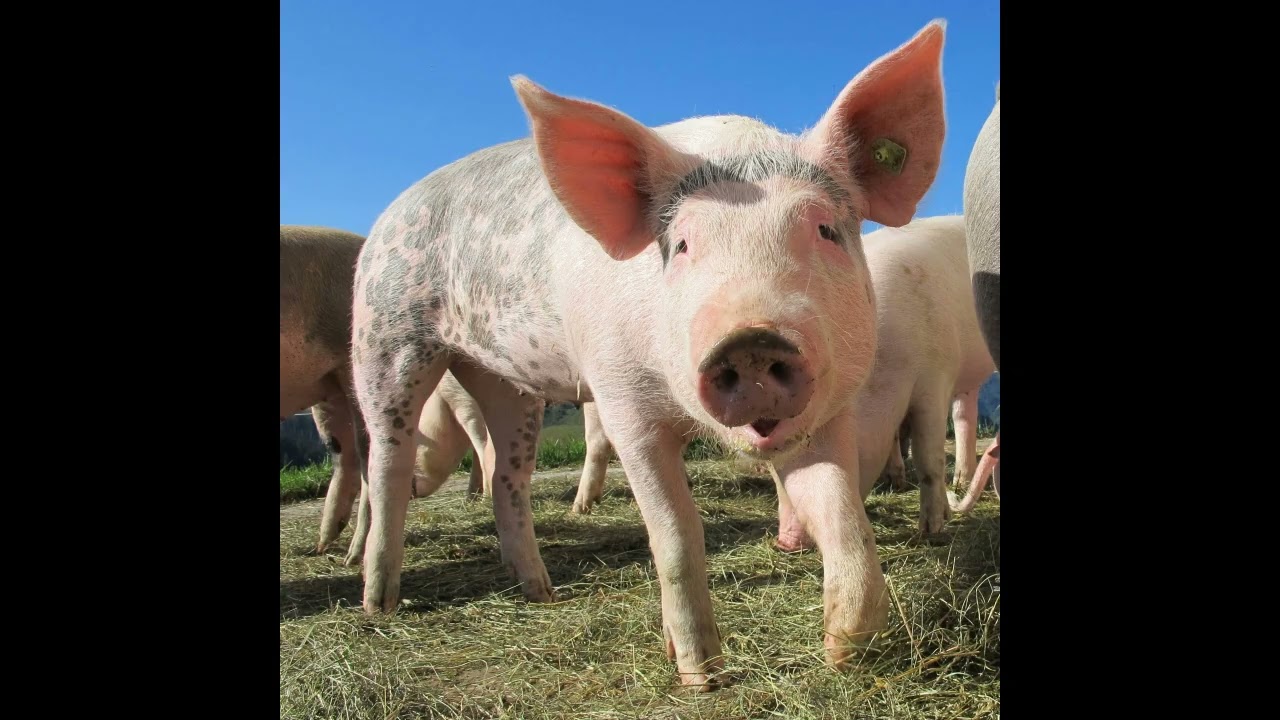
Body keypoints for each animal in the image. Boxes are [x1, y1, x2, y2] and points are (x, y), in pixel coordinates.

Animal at [348, 21, 948, 689]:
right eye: (681, 244)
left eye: (824, 230)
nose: (752, 339)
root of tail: (389, 213)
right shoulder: (622, 403)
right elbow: (677, 534)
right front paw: (702, 676)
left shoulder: (830, 408)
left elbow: (843, 516)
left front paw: (846, 652)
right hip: (386, 333)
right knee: (389, 463)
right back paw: (379, 604)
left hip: (506, 381)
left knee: (508, 475)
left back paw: (541, 593)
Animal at [774, 215, 996, 553]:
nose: (784, 541)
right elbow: (893, 440)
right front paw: (896, 481)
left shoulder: (935, 377)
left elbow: (928, 456)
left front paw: (930, 531)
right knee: (964, 414)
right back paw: (960, 482)